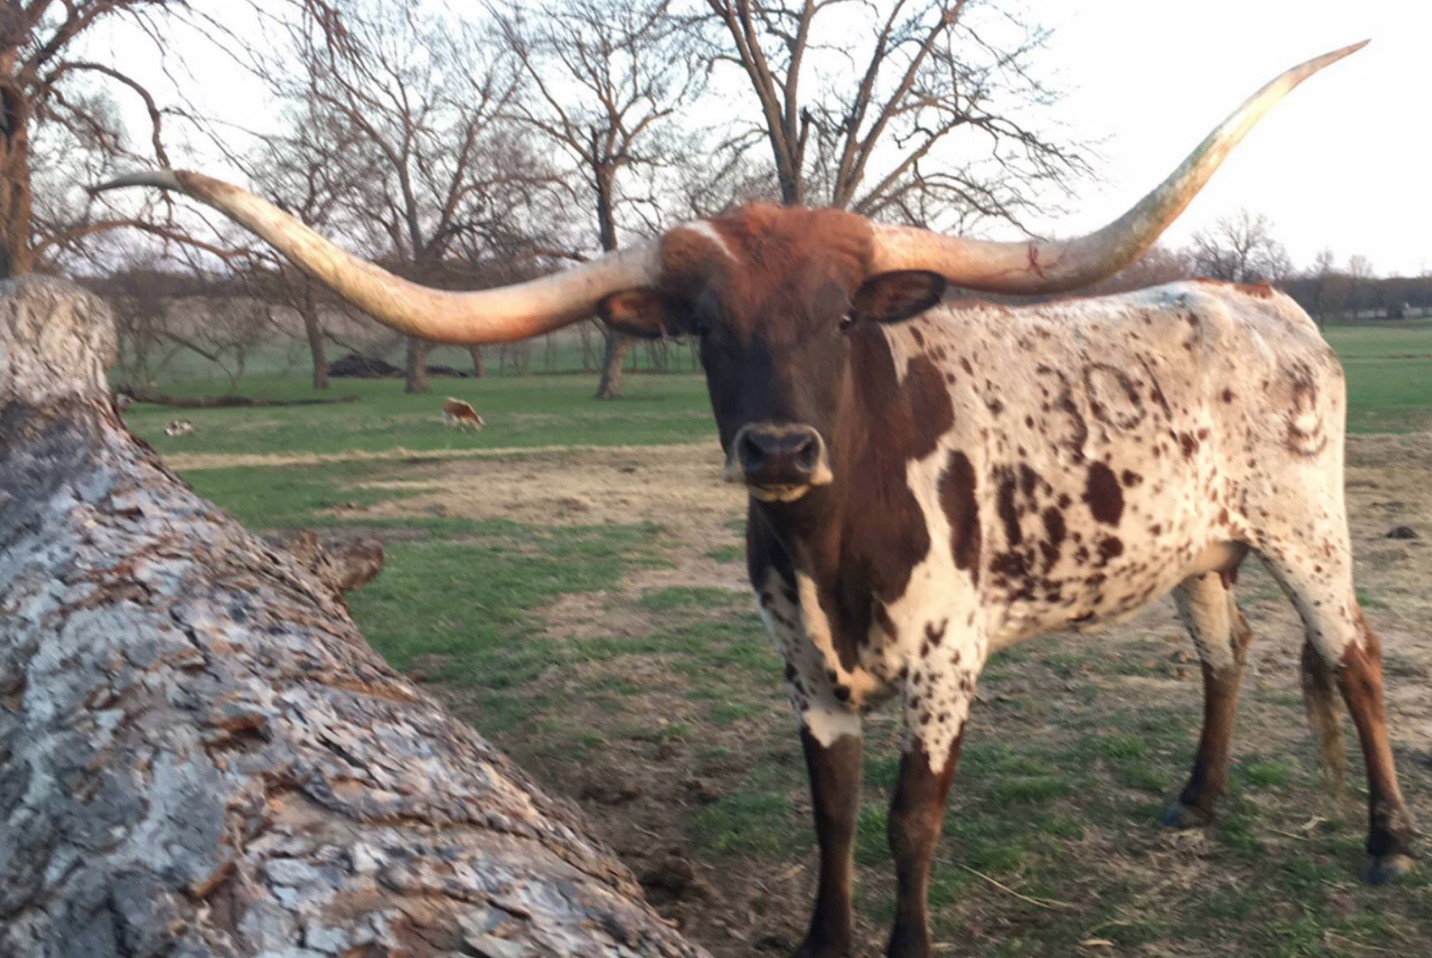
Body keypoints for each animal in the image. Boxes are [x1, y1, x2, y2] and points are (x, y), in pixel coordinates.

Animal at [101, 42, 1411, 958]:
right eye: (704, 327)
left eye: (841, 317)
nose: (779, 444)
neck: (832, 539)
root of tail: (1258, 295)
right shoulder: (803, 666)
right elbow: (830, 812)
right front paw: (824, 939)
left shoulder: (947, 661)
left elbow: (908, 818)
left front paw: (906, 939)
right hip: (1196, 546)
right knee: (1225, 649)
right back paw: (1198, 797)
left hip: (1309, 528)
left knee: (1353, 654)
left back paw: (1388, 839)